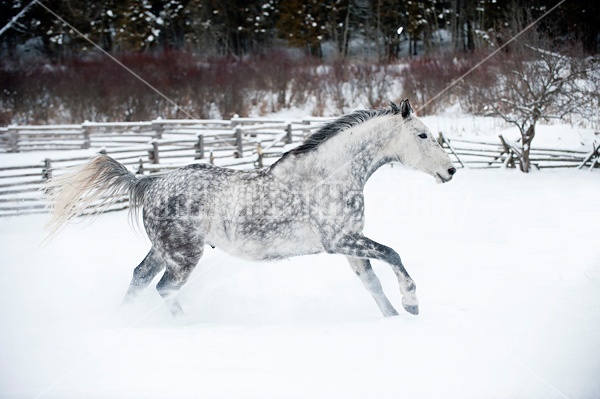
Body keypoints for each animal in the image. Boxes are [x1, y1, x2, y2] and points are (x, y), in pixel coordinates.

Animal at [48, 100, 454, 318]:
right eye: (422, 135)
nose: (450, 171)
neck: (330, 174)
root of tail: (149, 183)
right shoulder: (341, 241)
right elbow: (394, 254)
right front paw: (412, 303)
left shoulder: (350, 244)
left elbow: (372, 284)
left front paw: (394, 318)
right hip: (183, 256)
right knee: (165, 288)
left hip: (162, 251)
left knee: (139, 278)